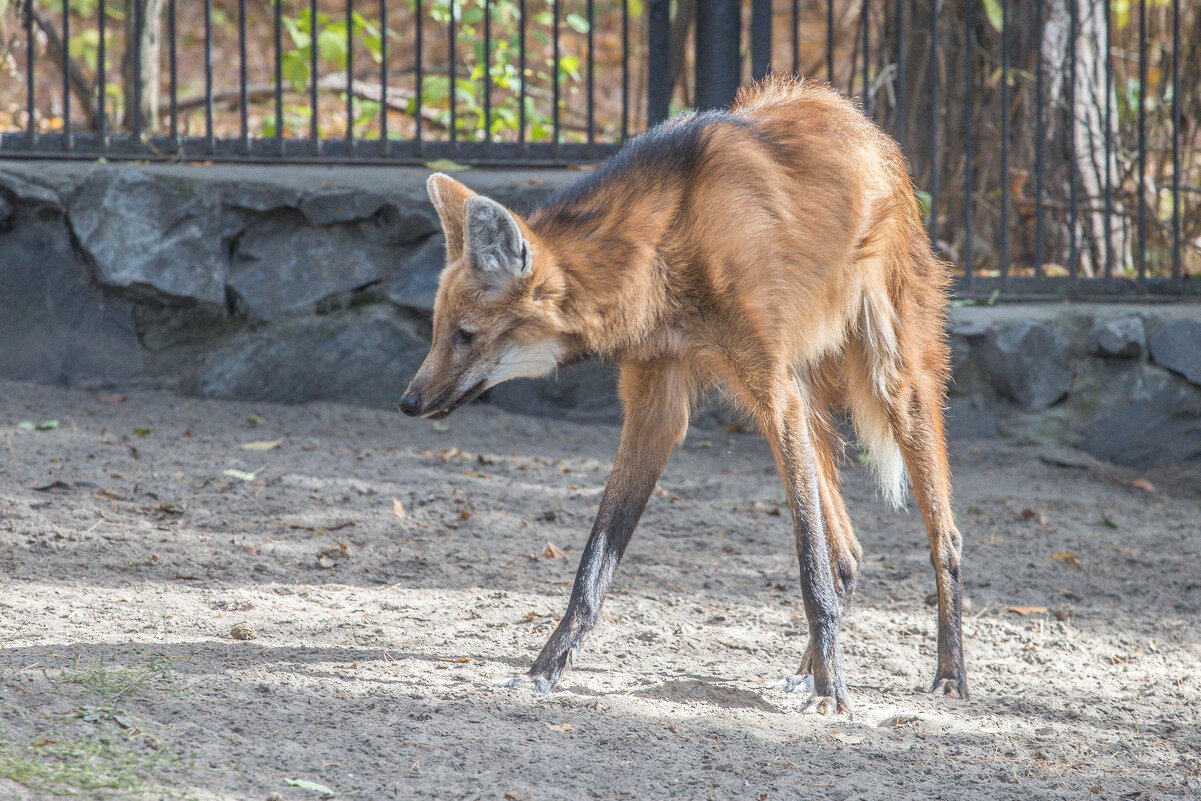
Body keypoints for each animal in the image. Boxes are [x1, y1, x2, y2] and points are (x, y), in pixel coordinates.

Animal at [403, 76, 965, 715]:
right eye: (437, 331)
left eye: (465, 335)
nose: (408, 401)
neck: (671, 246)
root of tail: (861, 121)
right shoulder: (659, 403)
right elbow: (594, 565)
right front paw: (546, 669)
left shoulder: (772, 393)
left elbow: (808, 568)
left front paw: (835, 693)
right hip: (791, 398)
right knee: (846, 553)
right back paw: (808, 670)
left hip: (889, 382)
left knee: (942, 536)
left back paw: (949, 675)